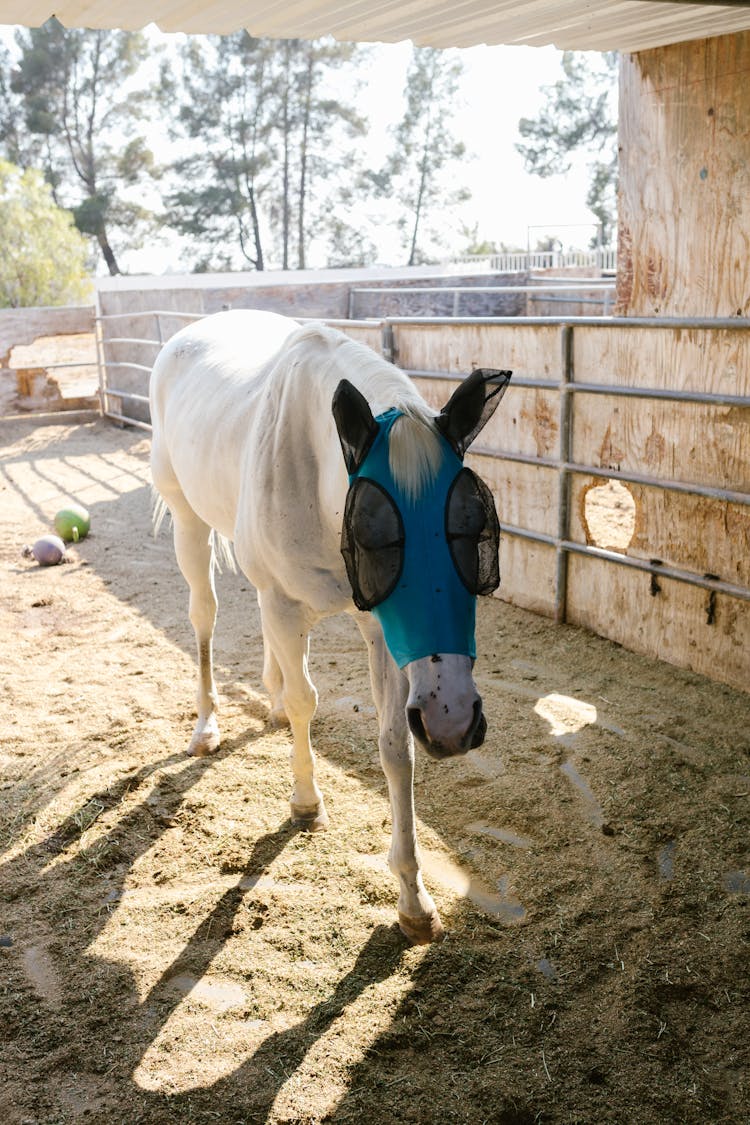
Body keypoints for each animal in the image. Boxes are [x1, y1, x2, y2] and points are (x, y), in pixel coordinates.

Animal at [149, 308, 510, 940]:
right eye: (376, 532)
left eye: (473, 526)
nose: (452, 720)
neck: (316, 472)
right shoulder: (289, 605)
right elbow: (304, 702)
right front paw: (304, 800)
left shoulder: (384, 632)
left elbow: (395, 745)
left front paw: (413, 899)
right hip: (190, 522)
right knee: (205, 617)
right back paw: (206, 726)